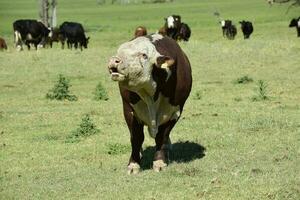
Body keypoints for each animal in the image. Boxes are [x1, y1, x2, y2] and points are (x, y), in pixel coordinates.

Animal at [108, 33, 192, 174]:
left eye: (144, 55)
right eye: (119, 51)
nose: (114, 60)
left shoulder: (173, 113)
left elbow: (161, 137)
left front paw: (160, 161)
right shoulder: (129, 111)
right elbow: (136, 138)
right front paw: (134, 164)